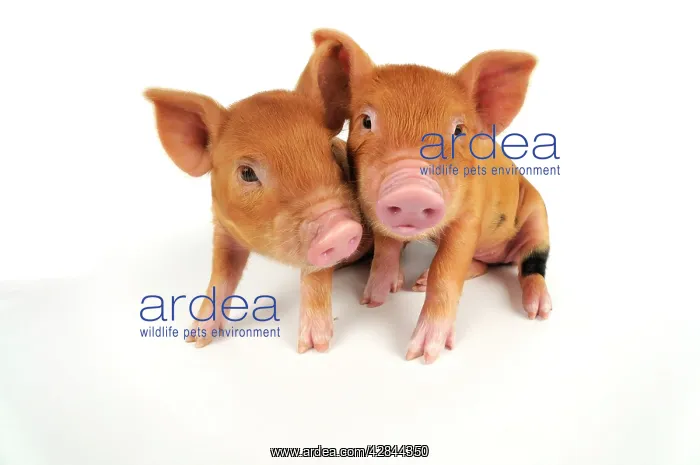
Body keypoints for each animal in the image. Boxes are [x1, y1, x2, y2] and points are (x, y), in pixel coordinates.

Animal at [143, 40, 372, 352]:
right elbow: (220, 275)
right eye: (247, 173)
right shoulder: (223, 228)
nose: (338, 228)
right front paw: (196, 340)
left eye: (329, 151)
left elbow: (314, 277)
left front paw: (312, 348)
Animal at [306, 29, 553, 363]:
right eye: (366, 121)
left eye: (459, 131)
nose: (412, 190)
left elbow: (446, 269)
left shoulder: (470, 218)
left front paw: (422, 354)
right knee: (483, 265)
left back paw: (538, 311)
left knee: (533, 263)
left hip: (539, 216)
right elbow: (386, 249)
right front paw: (373, 302)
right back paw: (419, 281)